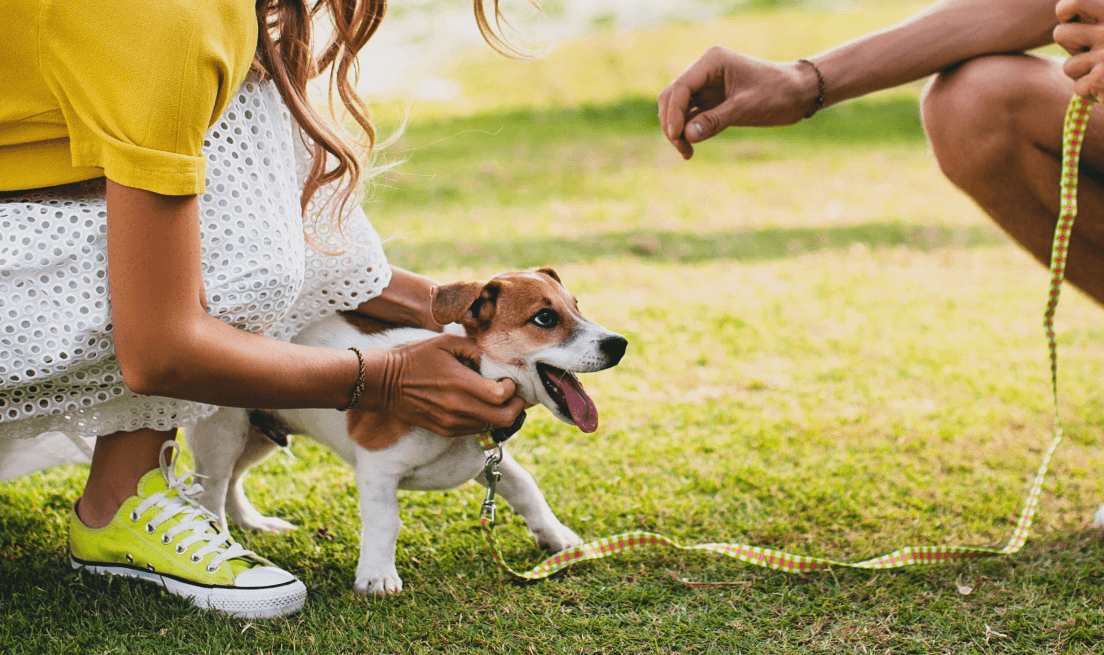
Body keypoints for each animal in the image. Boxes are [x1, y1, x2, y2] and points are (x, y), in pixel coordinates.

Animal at [185, 268, 627, 596]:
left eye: (577, 308)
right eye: (545, 318)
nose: (620, 344)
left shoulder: (489, 461)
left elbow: (526, 488)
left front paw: (556, 536)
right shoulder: (377, 467)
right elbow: (386, 522)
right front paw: (377, 575)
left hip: (259, 436)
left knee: (232, 483)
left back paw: (254, 522)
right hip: (222, 433)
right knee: (211, 491)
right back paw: (224, 543)